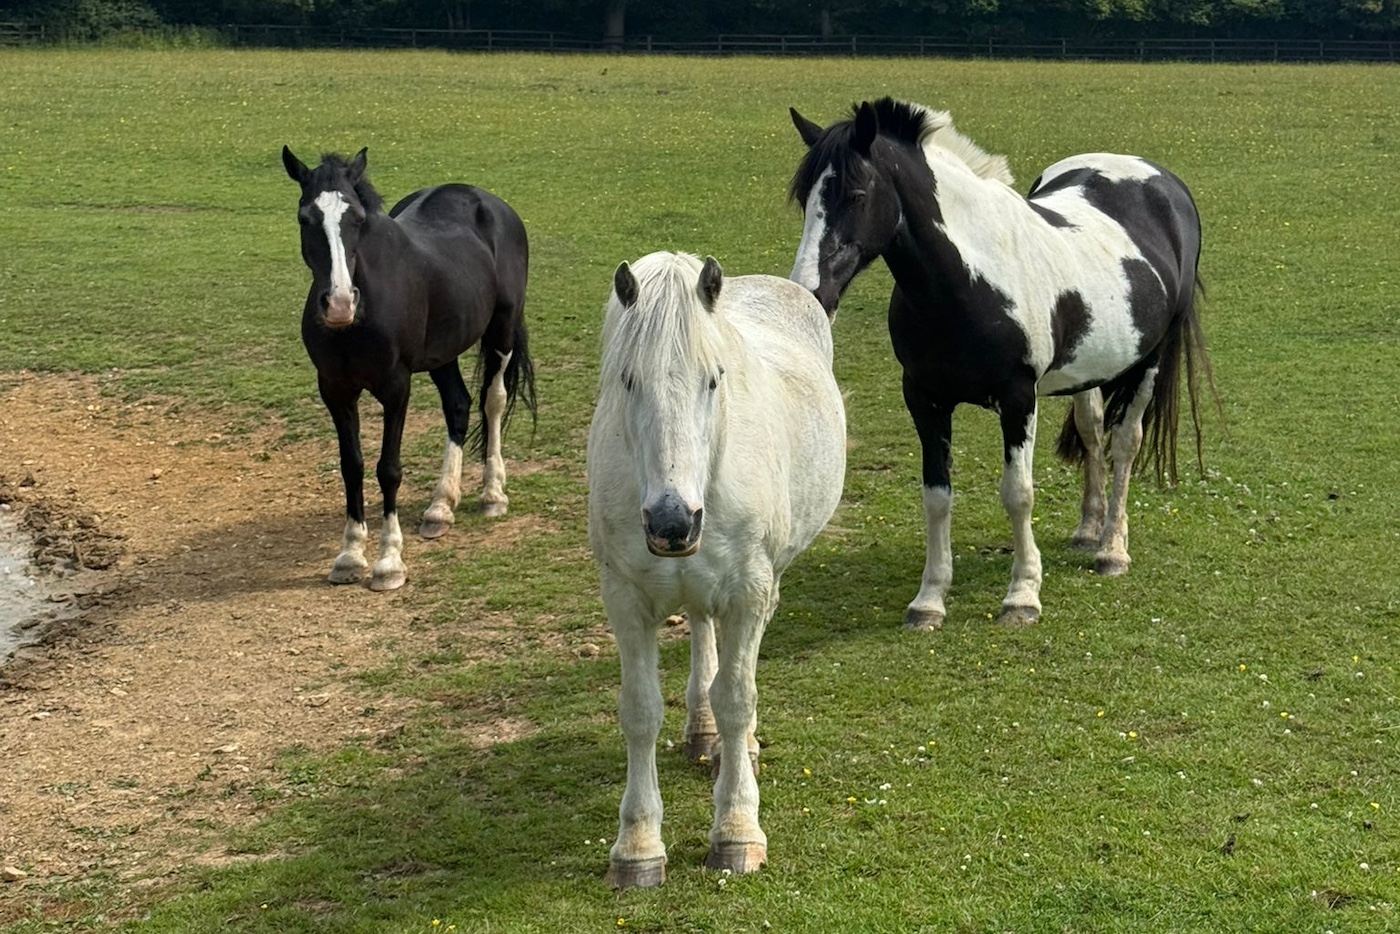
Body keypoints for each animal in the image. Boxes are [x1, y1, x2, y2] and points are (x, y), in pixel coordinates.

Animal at [282, 146, 535, 592]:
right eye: (305, 218)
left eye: (357, 218)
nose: (340, 303)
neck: (360, 319)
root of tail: (490, 202)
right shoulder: (335, 389)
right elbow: (352, 467)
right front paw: (350, 555)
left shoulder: (395, 387)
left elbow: (389, 469)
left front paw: (389, 562)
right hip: (442, 353)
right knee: (458, 406)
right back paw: (440, 506)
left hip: (501, 332)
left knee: (492, 401)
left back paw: (492, 494)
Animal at [587, 252, 846, 888]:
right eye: (627, 379)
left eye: (714, 378)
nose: (672, 521)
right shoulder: (625, 598)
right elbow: (640, 712)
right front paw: (638, 847)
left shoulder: (748, 592)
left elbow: (736, 698)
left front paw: (736, 831)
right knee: (702, 631)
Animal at [788, 98, 1212, 630]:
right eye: (803, 199)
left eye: (857, 194)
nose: (811, 293)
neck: (970, 279)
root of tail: (1163, 182)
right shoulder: (924, 399)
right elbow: (936, 496)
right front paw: (929, 600)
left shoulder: (1017, 399)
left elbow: (1018, 493)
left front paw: (1023, 594)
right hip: (1090, 369)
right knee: (1093, 432)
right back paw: (1088, 530)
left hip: (1149, 363)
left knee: (1124, 443)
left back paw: (1112, 549)